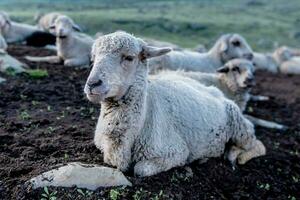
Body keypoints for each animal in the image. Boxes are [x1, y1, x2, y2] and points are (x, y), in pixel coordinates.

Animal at [84, 31, 264, 177]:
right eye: (93, 58)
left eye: (129, 57)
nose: (93, 84)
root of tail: (216, 91)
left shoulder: (176, 151)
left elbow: (140, 169)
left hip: (239, 127)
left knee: (256, 144)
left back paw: (232, 155)